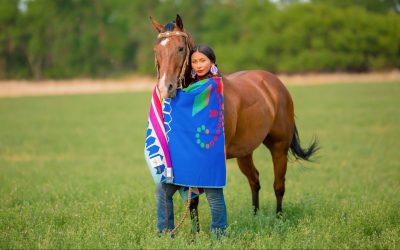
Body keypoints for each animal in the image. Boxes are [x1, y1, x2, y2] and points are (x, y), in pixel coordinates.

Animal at [150, 14, 318, 227]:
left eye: (180, 48)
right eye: (157, 50)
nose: (166, 88)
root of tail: (275, 84)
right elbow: (193, 199)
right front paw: (195, 233)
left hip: (279, 147)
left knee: (278, 185)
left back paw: (279, 219)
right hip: (245, 153)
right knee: (254, 180)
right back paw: (255, 217)